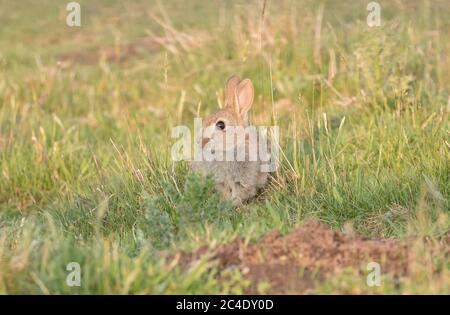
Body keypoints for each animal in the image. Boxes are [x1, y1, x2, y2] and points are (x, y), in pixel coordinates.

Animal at [190, 75, 270, 206]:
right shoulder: (219, 180)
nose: (201, 142)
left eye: (221, 125)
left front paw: (234, 204)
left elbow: (241, 192)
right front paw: (225, 203)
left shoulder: (243, 179)